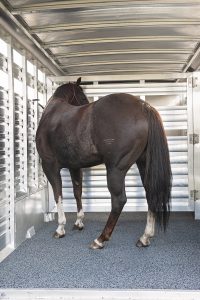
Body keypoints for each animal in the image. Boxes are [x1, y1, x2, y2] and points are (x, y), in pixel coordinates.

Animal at [36, 77, 172, 248]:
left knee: (118, 200)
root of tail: (144, 107)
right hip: (144, 163)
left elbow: (58, 194)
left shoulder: (49, 166)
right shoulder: (75, 167)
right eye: (82, 98)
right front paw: (79, 222)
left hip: (115, 169)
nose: (85, 103)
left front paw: (60, 228)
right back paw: (145, 237)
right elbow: (77, 192)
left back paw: (100, 239)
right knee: (150, 193)